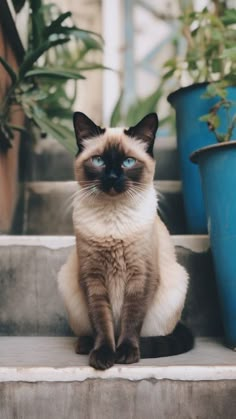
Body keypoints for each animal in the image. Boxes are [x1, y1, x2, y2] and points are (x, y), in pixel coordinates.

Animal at [57, 111, 194, 370]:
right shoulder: (93, 278)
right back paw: (86, 345)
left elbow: (131, 320)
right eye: (98, 161)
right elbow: (102, 323)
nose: (112, 177)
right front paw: (103, 355)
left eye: (128, 162)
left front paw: (125, 353)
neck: (114, 219)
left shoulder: (141, 277)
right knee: (90, 331)